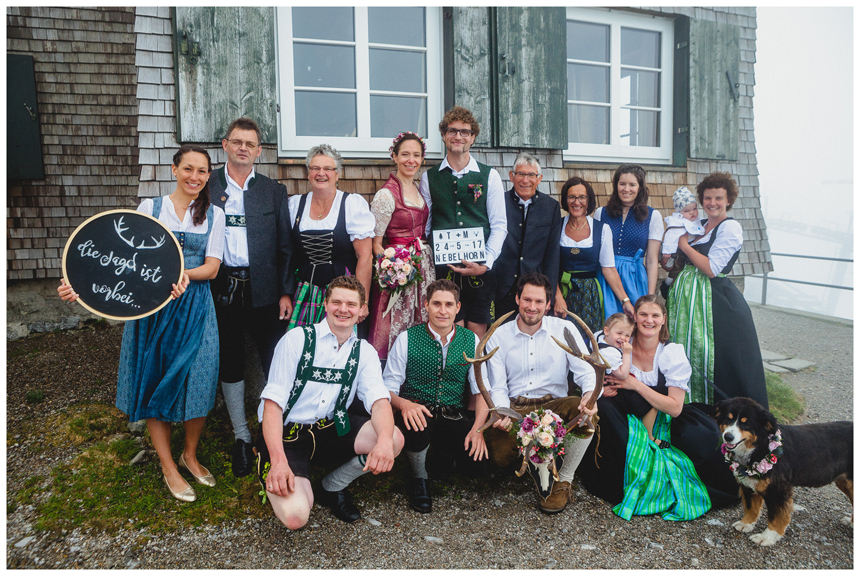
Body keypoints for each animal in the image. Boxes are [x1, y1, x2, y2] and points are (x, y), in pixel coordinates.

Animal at [712, 398, 852, 548]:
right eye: (728, 419)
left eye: (746, 423)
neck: (760, 447)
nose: (728, 436)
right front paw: (746, 524)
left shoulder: (778, 490)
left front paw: (767, 537)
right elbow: (751, 508)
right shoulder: (748, 485)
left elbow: (776, 516)